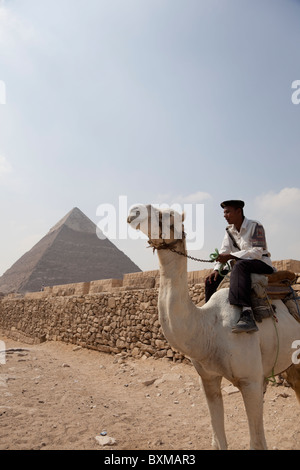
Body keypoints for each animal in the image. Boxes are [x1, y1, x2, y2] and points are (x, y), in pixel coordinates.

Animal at [127, 204, 300, 450]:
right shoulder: (207, 378)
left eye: (166, 216)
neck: (210, 328)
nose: (134, 210)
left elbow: (257, 442)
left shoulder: (251, 381)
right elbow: (218, 441)